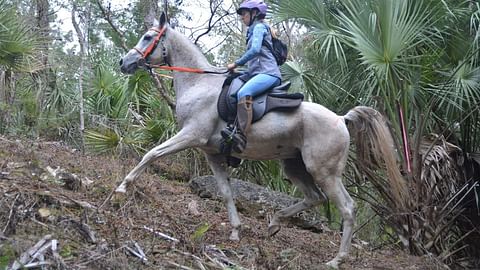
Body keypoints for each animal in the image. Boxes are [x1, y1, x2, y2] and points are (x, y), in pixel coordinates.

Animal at [117, 13, 404, 268]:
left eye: (147, 37)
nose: (123, 62)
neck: (199, 83)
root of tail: (341, 119)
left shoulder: (191, 135)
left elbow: (152, 153)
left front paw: (123, 186)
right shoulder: (212, 153)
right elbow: (226, 192)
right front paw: (235, 230)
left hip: (324, 171)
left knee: (347, 208)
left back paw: (337, 259)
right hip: (294, 166)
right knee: (314, 197)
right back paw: (275, 223)